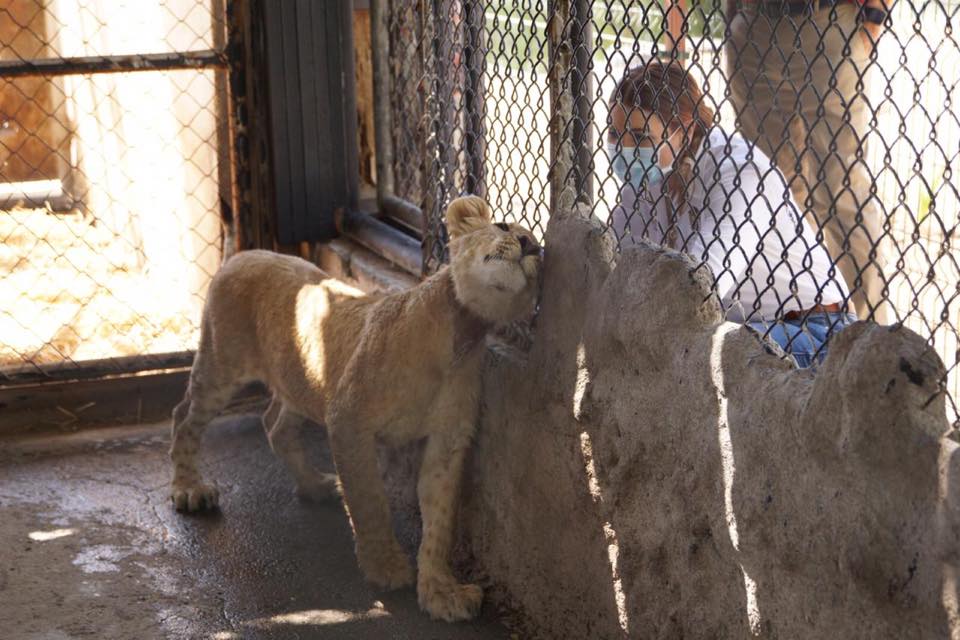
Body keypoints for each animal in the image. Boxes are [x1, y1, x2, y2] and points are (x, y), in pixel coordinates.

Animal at [168, 195, 542, 622]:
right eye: (503, 226)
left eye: (540, 248)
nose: (529, 244)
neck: (459, 334)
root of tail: (246, 253)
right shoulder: (348, 419)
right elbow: (369, 500)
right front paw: (386, 566)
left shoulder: (447, 441)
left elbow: (440, 519)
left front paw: (441, 592)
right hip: (221, 364)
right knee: (185, 417)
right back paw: (189, 490)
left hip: (302, 380)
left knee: (275, 424)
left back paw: (314, 485)